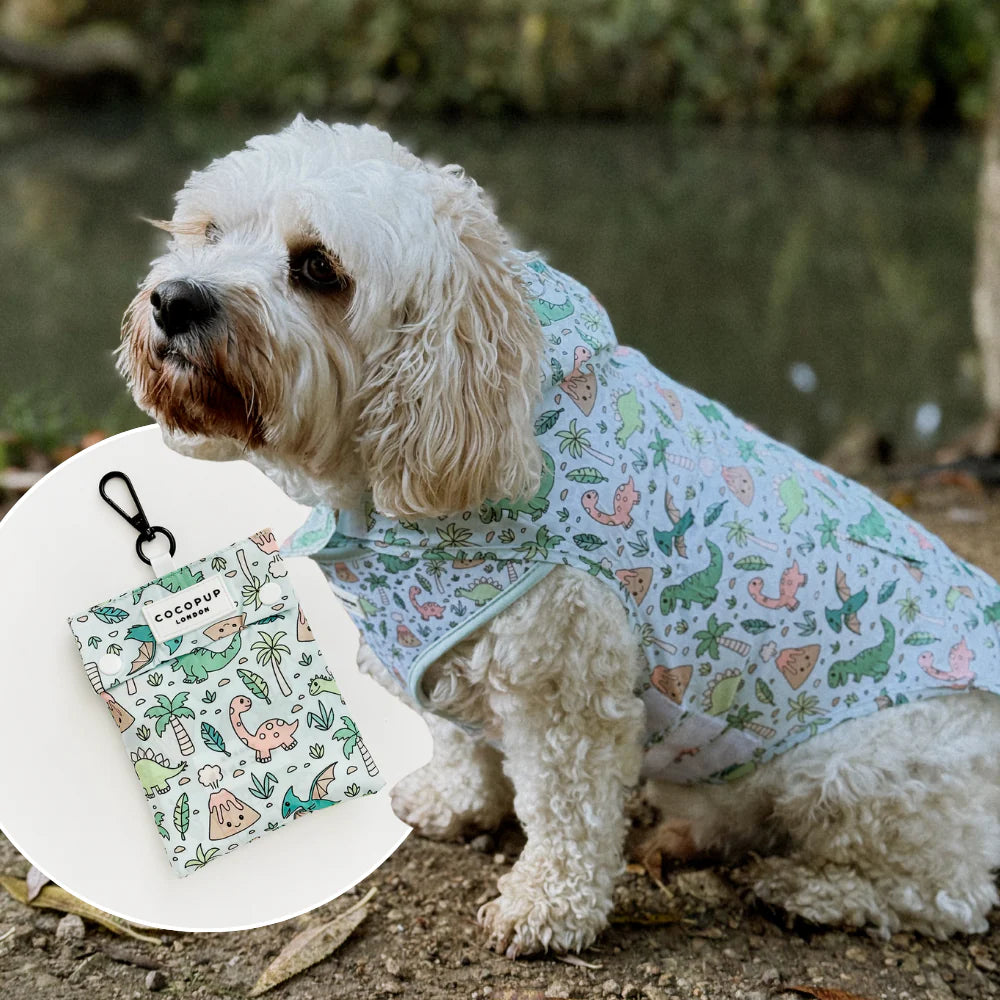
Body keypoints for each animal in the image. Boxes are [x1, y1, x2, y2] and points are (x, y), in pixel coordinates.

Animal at [118, 118, 1000, 955]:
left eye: (318, 268)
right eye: (207, 230)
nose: (175, 300)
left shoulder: (566, 690)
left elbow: (566, 812)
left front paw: (546, 909)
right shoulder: (433, 649)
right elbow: (457, 739)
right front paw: (455, 803)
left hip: (856, 768)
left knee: (949, 891)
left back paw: (815, 891)